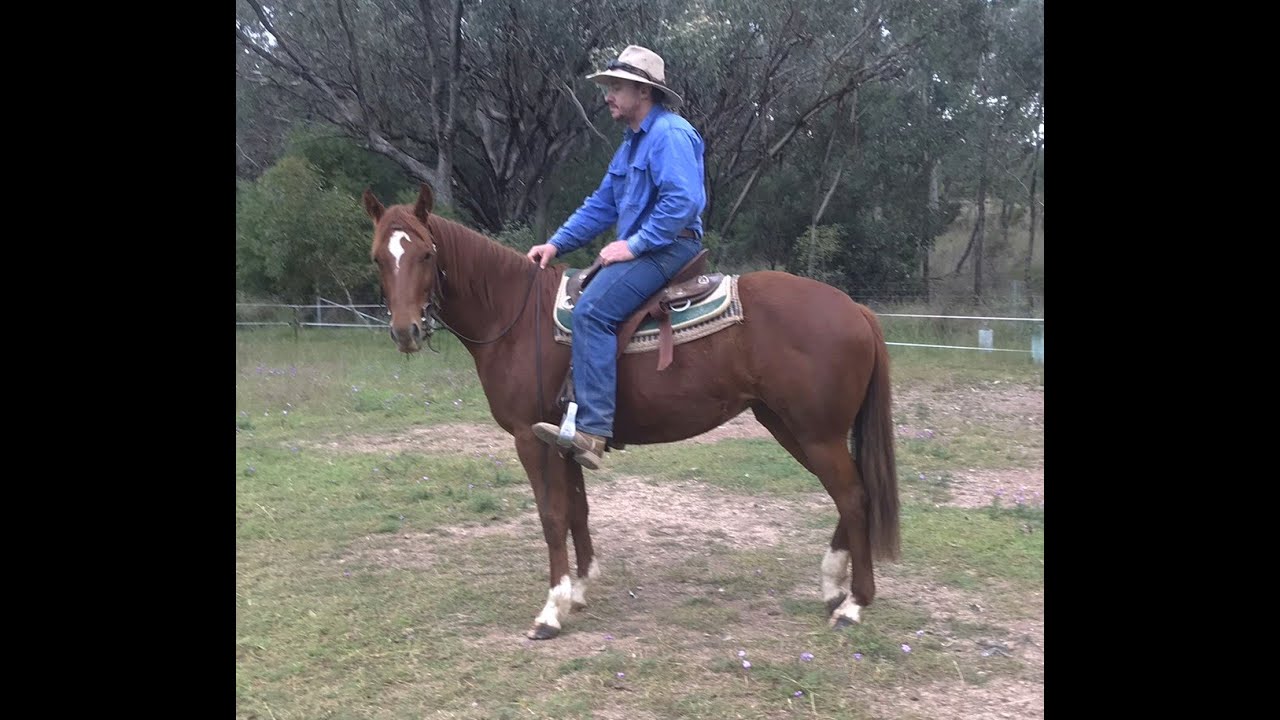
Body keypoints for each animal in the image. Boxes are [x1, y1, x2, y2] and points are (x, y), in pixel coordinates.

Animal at [362, 183, 900, 640]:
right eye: (378, 258)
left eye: (427, 254)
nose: (406, 331)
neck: (516, 315)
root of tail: (856, 310)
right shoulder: (564, 439)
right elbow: (577, 509)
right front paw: (579, 590)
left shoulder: (530, 439)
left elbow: (552, 516)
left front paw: (550, 611)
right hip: (790, 426)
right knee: (853, 493)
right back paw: (833, 586)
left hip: (816, 433)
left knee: (853, 496)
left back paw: (854, 603)